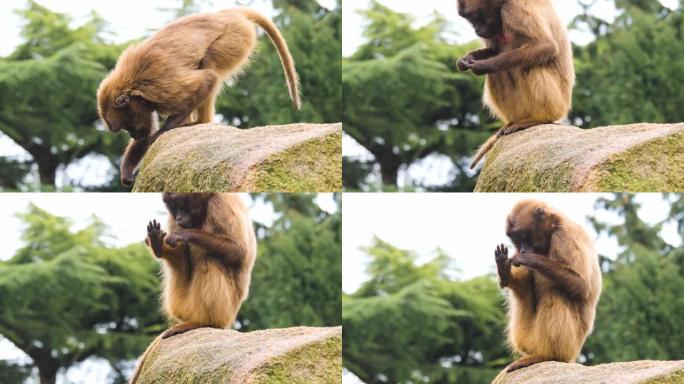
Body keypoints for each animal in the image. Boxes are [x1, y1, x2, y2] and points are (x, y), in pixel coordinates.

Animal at [97, 7, 300, 184]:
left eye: (127, 125)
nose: (135, 134)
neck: (131, 83)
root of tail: (225, 14)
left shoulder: (158, 87)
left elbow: (207, 79)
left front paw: (163, 131)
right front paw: (127, 171)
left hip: (235, 37)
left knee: (209, 64)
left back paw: (201, 122)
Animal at [131, 194, 256, 382]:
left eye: (183, 205)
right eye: (174, 207)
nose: (179, 218)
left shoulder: (219, 204)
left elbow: (239, 252)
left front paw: (186, 235)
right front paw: (158, 242)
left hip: (225, 311)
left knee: (210, 259)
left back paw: (204, 322)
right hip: (183, 304)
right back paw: (158, 245)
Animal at [456, 0, 576, 168]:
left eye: (476, 18)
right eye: (472, 21)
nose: (476, 29)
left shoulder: (513, 9)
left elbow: (545, 46)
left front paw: (483, 66)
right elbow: (495, 49)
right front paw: (466, 59)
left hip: (558, 103)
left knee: (530, 66)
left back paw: (540, 119)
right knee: (499, 73)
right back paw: (513, 122)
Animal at [494, 201, 600, 372]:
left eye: (523, 237)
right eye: (517, 240)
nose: (523, 249)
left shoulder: (564, 235)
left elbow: (582, 287)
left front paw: (531, 259)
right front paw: (504, 270)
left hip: (571, 345)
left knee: (554, 293)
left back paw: (548, 356)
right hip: (531, 337)